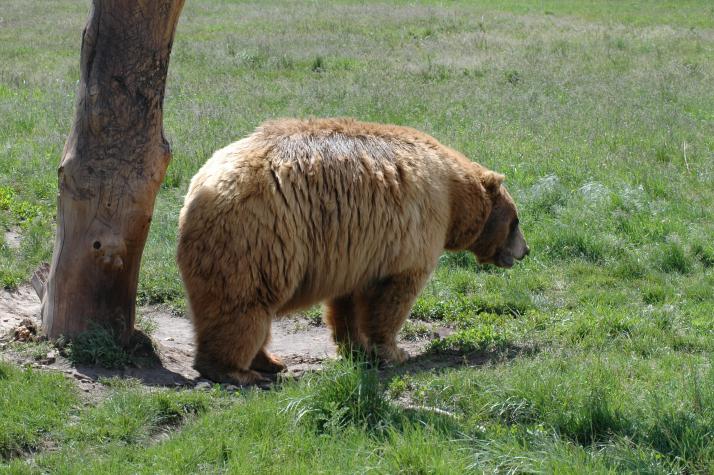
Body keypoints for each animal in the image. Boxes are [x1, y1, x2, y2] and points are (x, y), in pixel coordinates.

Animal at [175, 117, 524, 384]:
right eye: (516, 221)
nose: (525, 250)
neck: (454, 196)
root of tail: (203, 187)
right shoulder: (415, 227)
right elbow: (393, 296)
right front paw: (395, 351)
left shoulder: (355, 246)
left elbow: (347, 300)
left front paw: (355, 347)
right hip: (259, 235)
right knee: (243, 303)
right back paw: (237, 371)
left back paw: (269, 361)